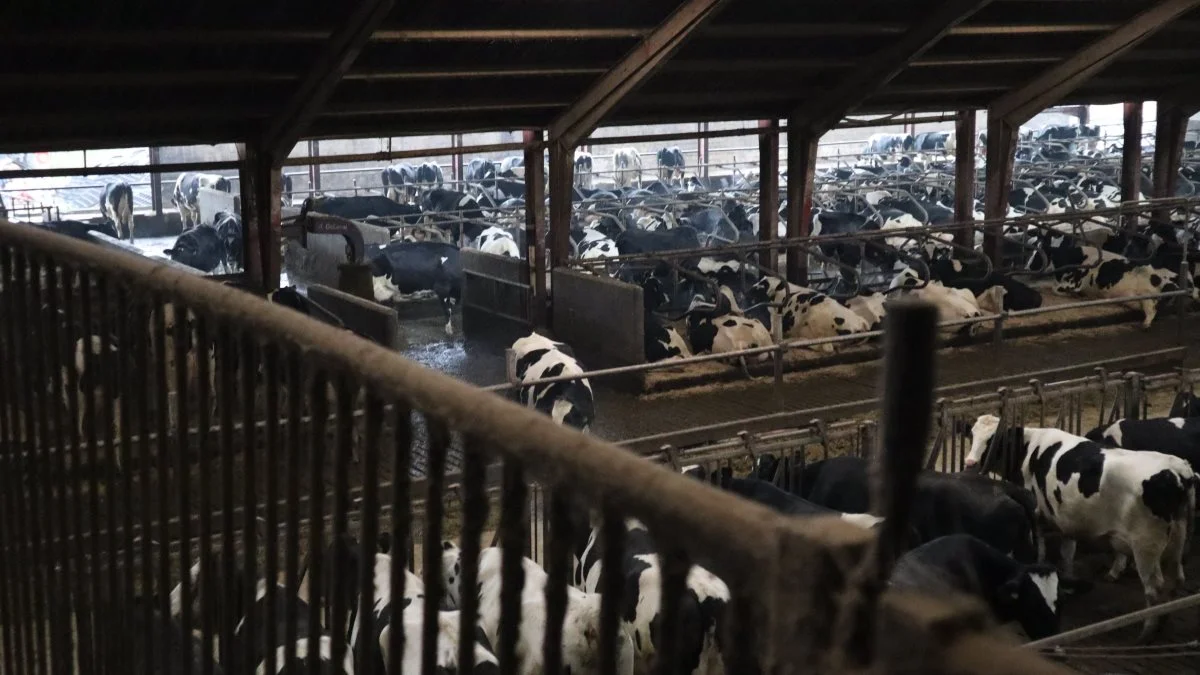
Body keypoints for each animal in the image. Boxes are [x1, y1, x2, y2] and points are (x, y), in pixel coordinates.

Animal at [964, 413, 1200, 638]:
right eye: (972, 435)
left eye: (993, 439)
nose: (970, 462)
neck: (1029, 449)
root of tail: (1180, 471)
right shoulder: (1066, 518)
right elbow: (1067, 553)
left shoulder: (1038, 514)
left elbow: (1041, 550)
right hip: (1178, 533)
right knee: (1176, 577)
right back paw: (1163, 621)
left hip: (1146, 543)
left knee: (1154, 588)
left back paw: (1147, 631)